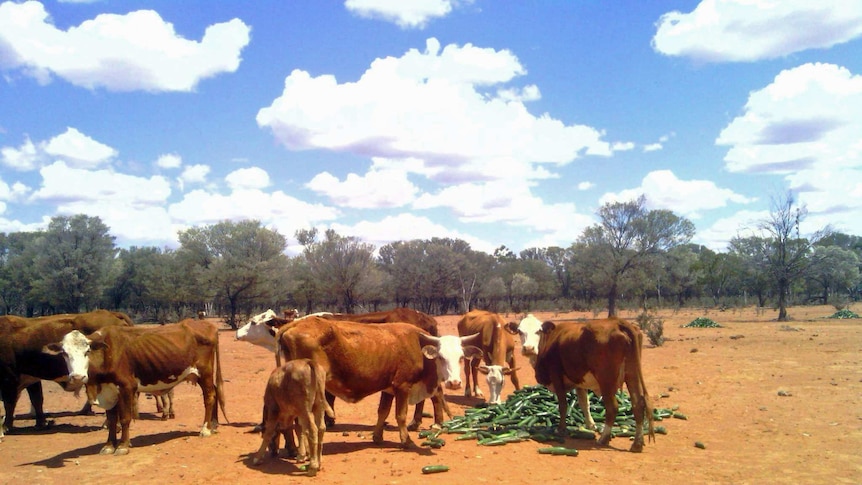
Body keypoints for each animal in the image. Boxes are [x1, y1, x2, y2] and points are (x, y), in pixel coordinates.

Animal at [0, 310, 134, 438]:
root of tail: (111, 313)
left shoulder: (9, 378)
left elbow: (9, 403)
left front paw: (6, 426)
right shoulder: (31, 378)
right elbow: (36, 399)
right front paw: (40, 423)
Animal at [47, 318, 226, 454]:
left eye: (87, 351)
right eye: (64, 353)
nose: (77, 377)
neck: (108, 353)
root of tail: (207, 325)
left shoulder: (127, 387)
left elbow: (125, 418)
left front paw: (123, 446)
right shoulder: (109, 391)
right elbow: (111, 420)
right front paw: (109, 445)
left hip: (204, 373)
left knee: (210, 397)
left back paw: (206, 428)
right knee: (216, 392)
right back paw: (214, 425)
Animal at [280, 316, 486, 448]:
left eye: (461, 357)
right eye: (441, 357)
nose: (454, 383)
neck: (418, 347)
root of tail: (293, 325)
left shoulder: (388, 389)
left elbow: (383, 412)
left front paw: (377, 437)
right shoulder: (402, 387)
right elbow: (400, 415)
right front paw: (406, 440)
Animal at [506, 316, 656, 452]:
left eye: (538, 331)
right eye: (520, 331)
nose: (528, 348)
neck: (550, 340)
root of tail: (618, 322)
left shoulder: (556, 376)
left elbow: (563, 405)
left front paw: (561, 429)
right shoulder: (579, 382)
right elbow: (585, 404)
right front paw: (591, 425)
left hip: (606, 380)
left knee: (612, 407)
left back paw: (604, 438)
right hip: (632, 375)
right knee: (638, 404)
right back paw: (637, 443)